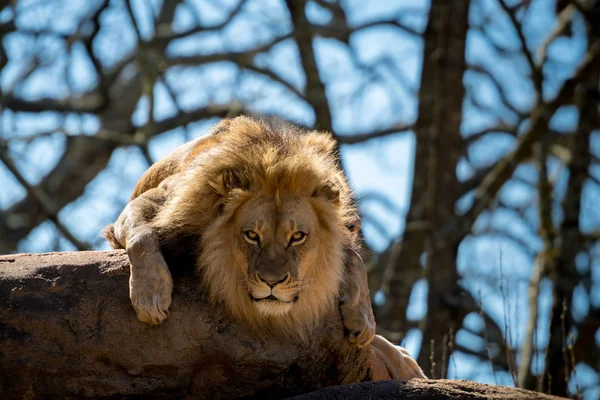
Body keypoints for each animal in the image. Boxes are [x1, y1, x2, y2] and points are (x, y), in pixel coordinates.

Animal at [103, 116, 424, 382]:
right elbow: (142, 235)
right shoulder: (154, 204)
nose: (272, 282)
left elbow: (353, 257)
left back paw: (404, 360)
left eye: (297, 237)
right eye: (251, 235)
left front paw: (362, 316)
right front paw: (151, 295)